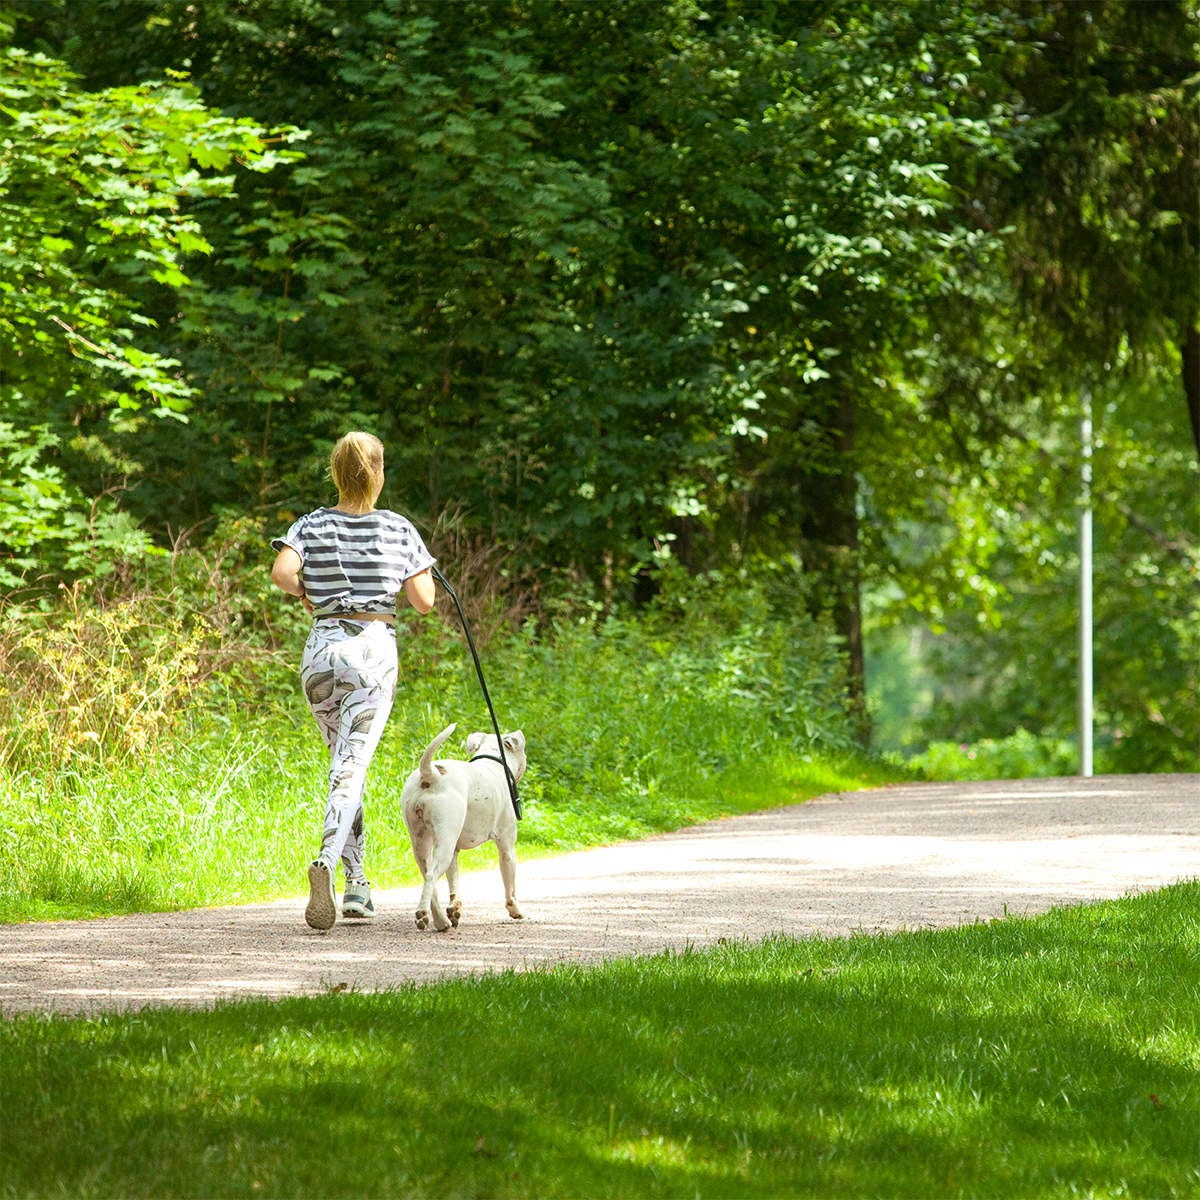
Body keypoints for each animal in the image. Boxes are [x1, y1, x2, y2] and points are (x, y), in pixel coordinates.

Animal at [400, 722, 527, 932]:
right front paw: (516, 910)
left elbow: (454, 882)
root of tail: (430, 774)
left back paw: (441, 921)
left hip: (422, 843)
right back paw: (423, 915)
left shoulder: (454, 852)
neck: (494, 763)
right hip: (443, 844)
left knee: (428, 878)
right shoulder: (507, 849)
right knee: (431, 876)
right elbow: (511, 888)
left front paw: (454, 909)